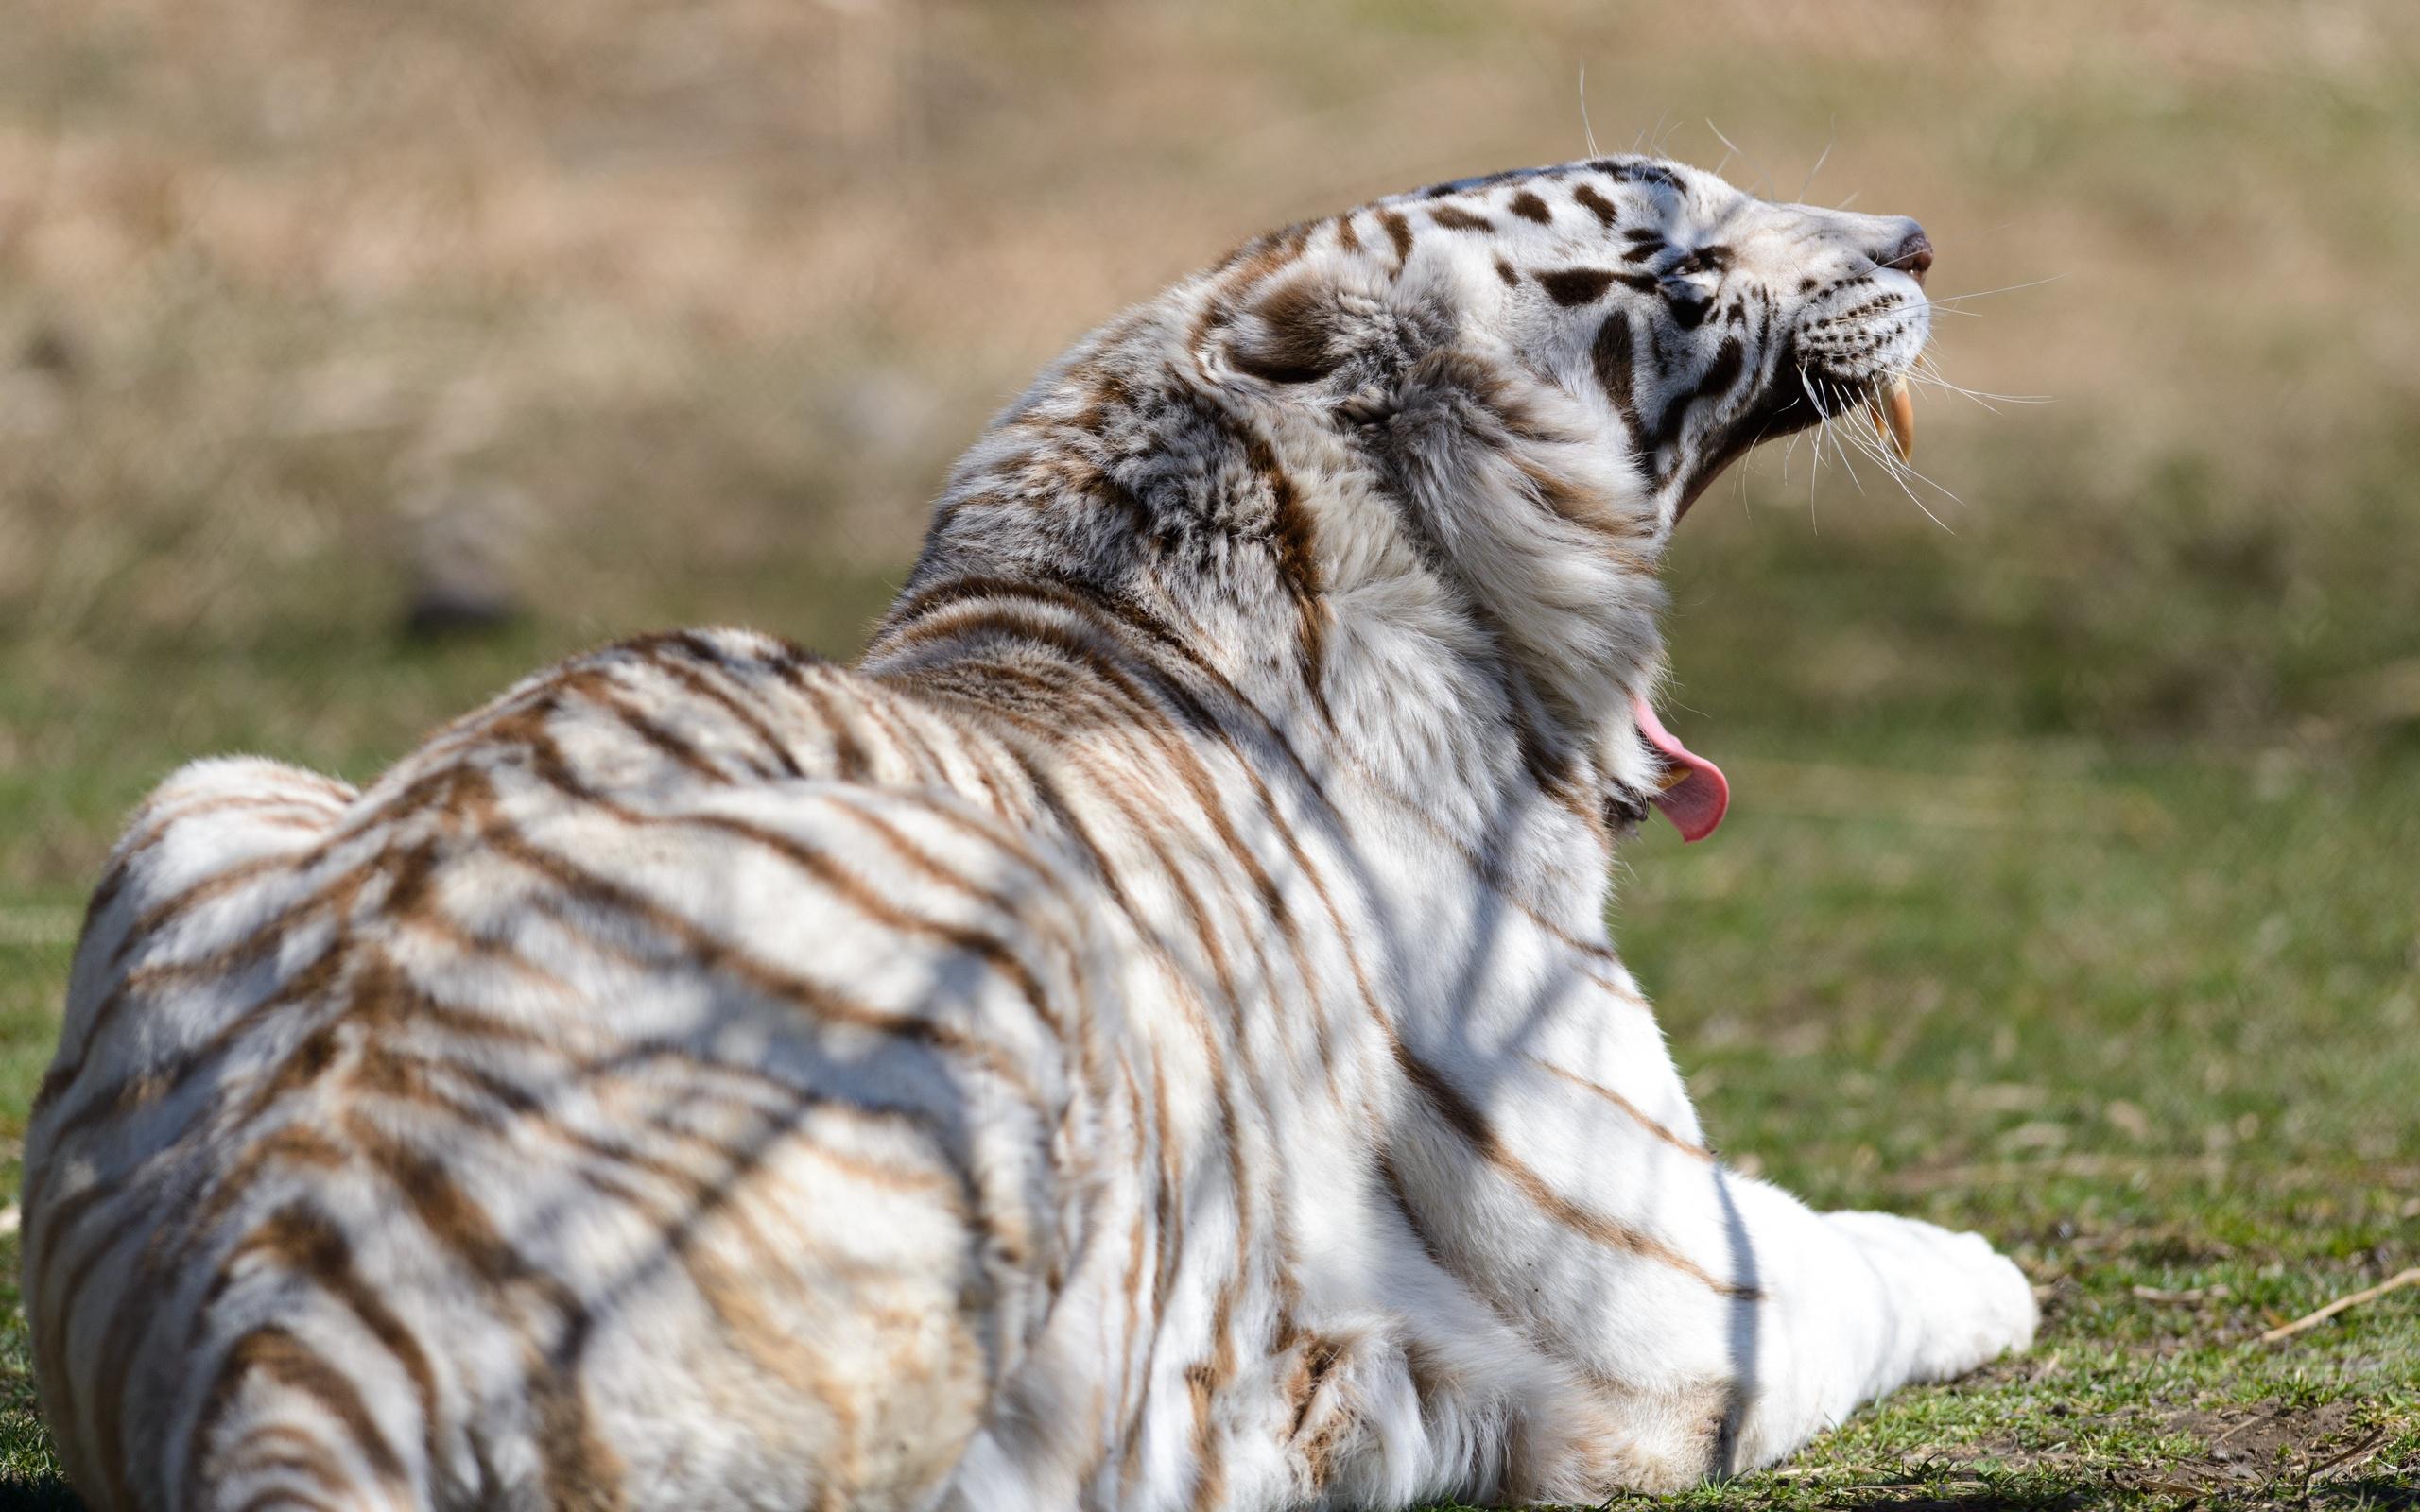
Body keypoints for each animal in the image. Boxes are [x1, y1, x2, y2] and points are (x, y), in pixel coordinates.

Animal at [23, 153, 2036, 1512]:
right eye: (1677, 251)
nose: (1920, 241)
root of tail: (296, 1335)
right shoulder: (1666, 1299)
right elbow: (1865, 1258)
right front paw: (1999, 1269)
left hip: (210, 790)